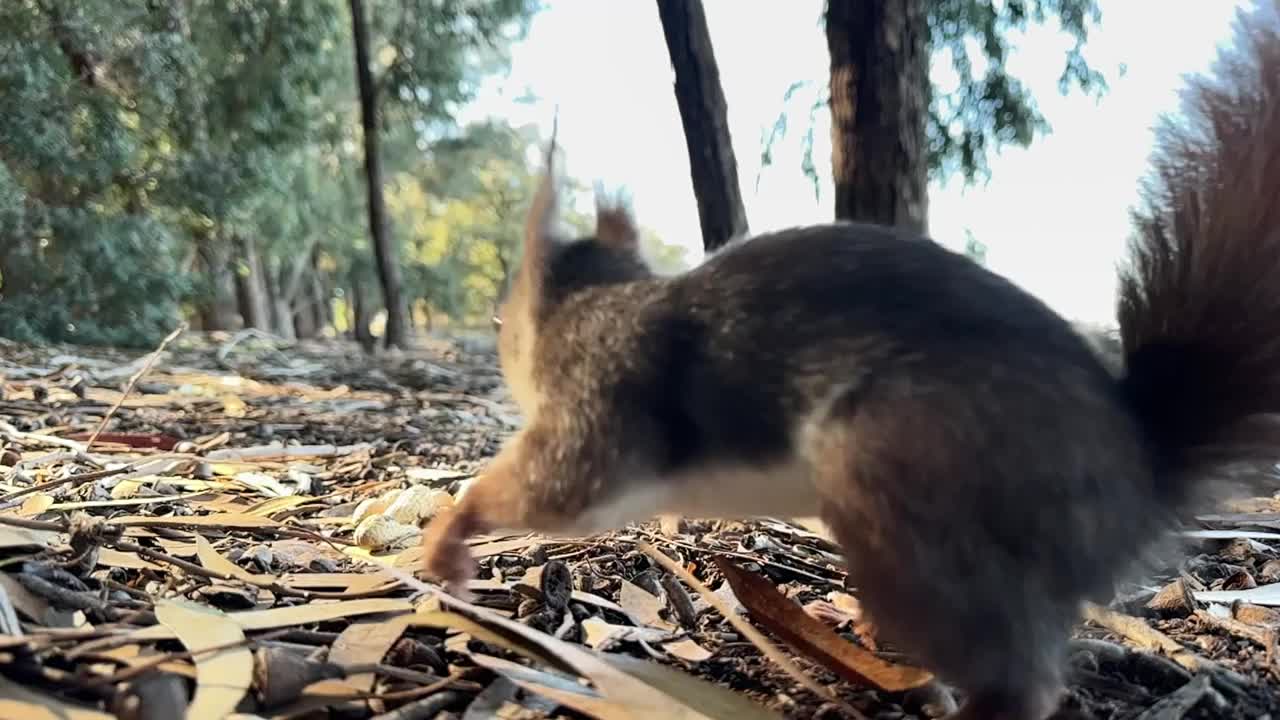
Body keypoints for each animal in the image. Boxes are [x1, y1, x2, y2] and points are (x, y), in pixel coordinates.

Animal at [424, 2, 1280, 712]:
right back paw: (871, 632)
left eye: (502, 318)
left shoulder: (597, 399)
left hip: (903, 460)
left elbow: (550, 485)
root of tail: (1139, 483)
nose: (497, 338)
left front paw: (450, 534)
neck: (600, 305)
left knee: (1020, 675)